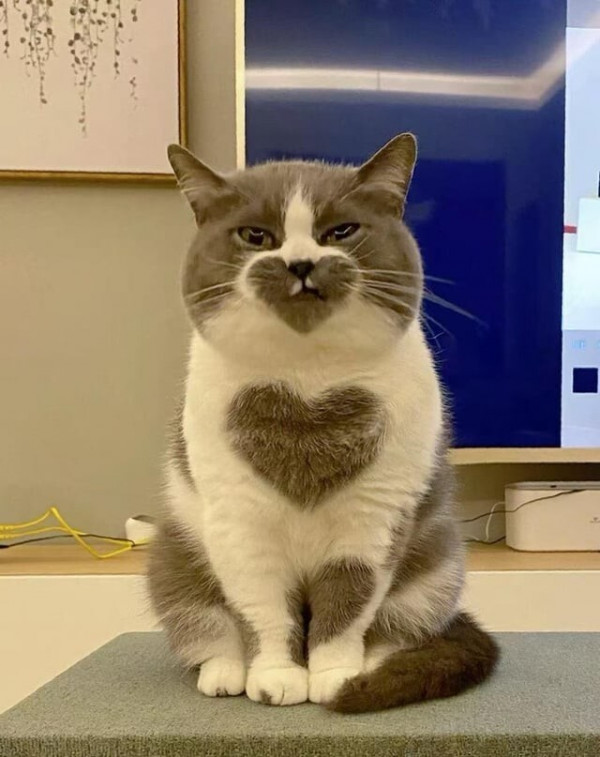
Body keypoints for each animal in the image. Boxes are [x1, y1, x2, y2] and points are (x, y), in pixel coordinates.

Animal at [147, 134, 499, 712]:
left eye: (340, 231)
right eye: (255, 236)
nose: (300, 262)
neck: (307, 383)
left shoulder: (376, 515)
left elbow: (349, 602)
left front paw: (333, 674)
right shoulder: (238, 521)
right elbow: (264, 610)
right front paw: (276, 675)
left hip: (439, 564)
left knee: (400, 628)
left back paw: (374, 668)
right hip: (175, 557)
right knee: (205, 629)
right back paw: (225, 672)